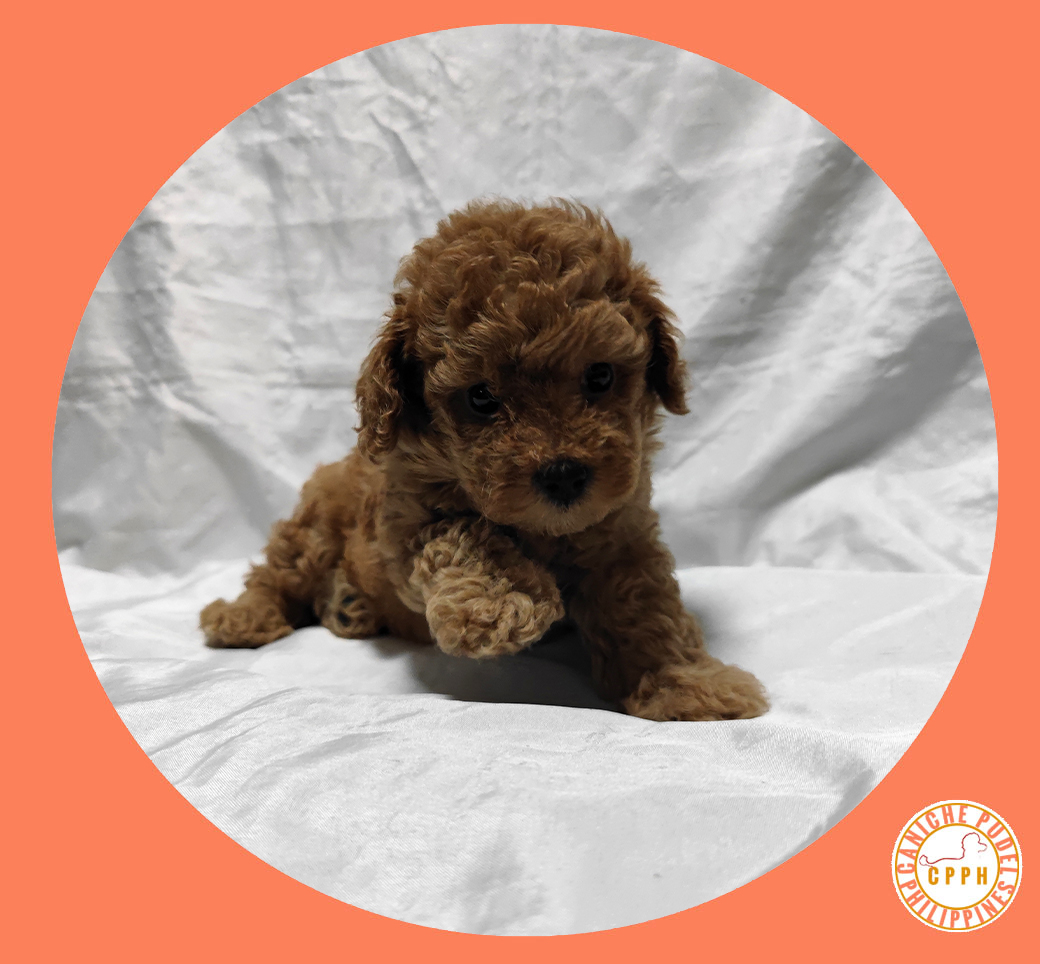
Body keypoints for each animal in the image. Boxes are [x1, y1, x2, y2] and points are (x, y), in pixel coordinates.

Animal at [201, 199, 768, 721]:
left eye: (601, 376)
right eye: (480, 398)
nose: (563, 474)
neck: (545, 532)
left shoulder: (624, 536)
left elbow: (646, 611)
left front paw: (687, 684)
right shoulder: (404, 524)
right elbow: (463, 532)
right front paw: (501, 602)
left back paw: (348, 605)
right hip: (312, 531)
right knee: (274, 575)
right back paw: (243, 618)